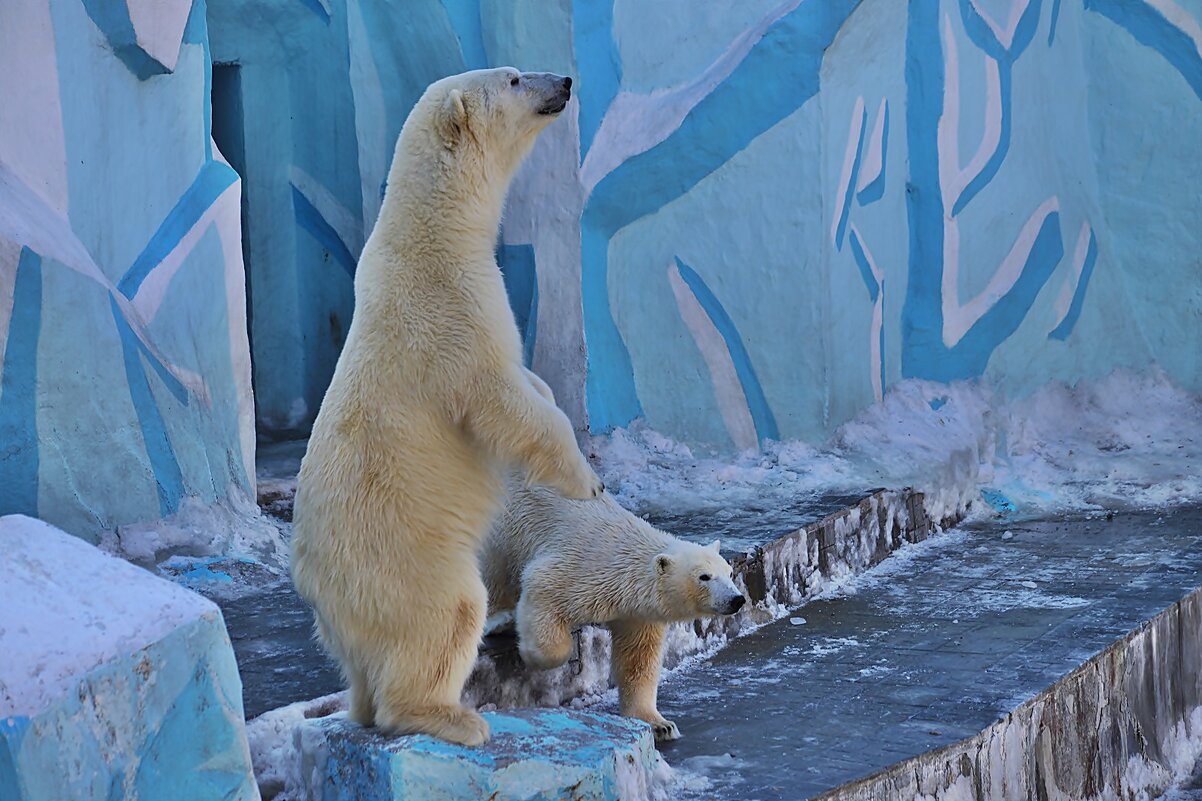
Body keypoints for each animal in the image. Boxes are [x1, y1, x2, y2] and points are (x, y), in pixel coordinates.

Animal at [290, 70, 601, 750]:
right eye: (514, 78)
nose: (565, 80)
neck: (429, 235)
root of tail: (321, 595)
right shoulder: (451, 311)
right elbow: (500, 397)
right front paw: (587, 480)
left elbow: (530, 382)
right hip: (404, 563)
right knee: (447, 614)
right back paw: (452, 716)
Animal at [480, 471, 745, 740]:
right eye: (704, 577)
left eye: (729, 572)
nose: (737, 599)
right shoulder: (580, 569)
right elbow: (542, 585)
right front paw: (544, 655)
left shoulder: (639, 614)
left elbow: (638, 659)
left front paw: (661, 724)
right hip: (505, 521)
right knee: (494, 569)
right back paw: (500, 618)